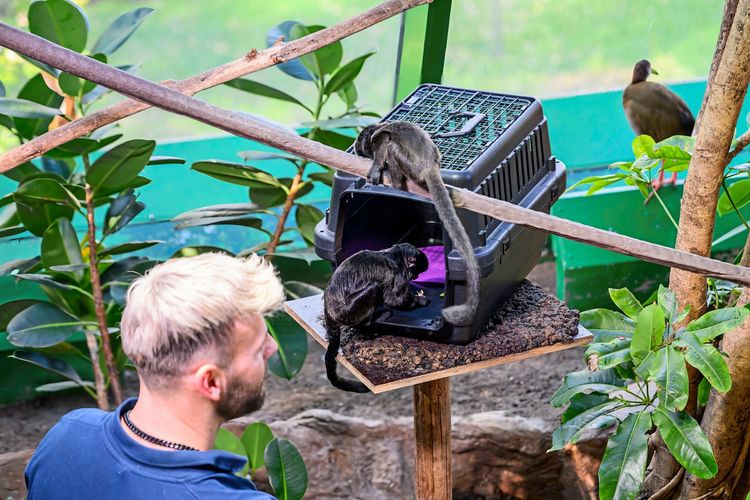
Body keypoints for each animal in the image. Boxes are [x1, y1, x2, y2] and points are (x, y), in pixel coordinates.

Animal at [323, 243, 430, 393]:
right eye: (416, 272)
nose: (415, 276)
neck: (394, 255)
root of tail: (329, 312)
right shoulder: (395, 272)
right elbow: (394, 300)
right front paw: (420, 300)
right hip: (349, 312)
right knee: (374, 288)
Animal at [354, 121, 480, 326]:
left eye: (360, 144)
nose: (358, 149)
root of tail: (430, 166)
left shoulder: (377, 137)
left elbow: (384, 139)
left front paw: (376, 167)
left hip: (411, 166)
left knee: (392, 148)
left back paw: (396, 185)